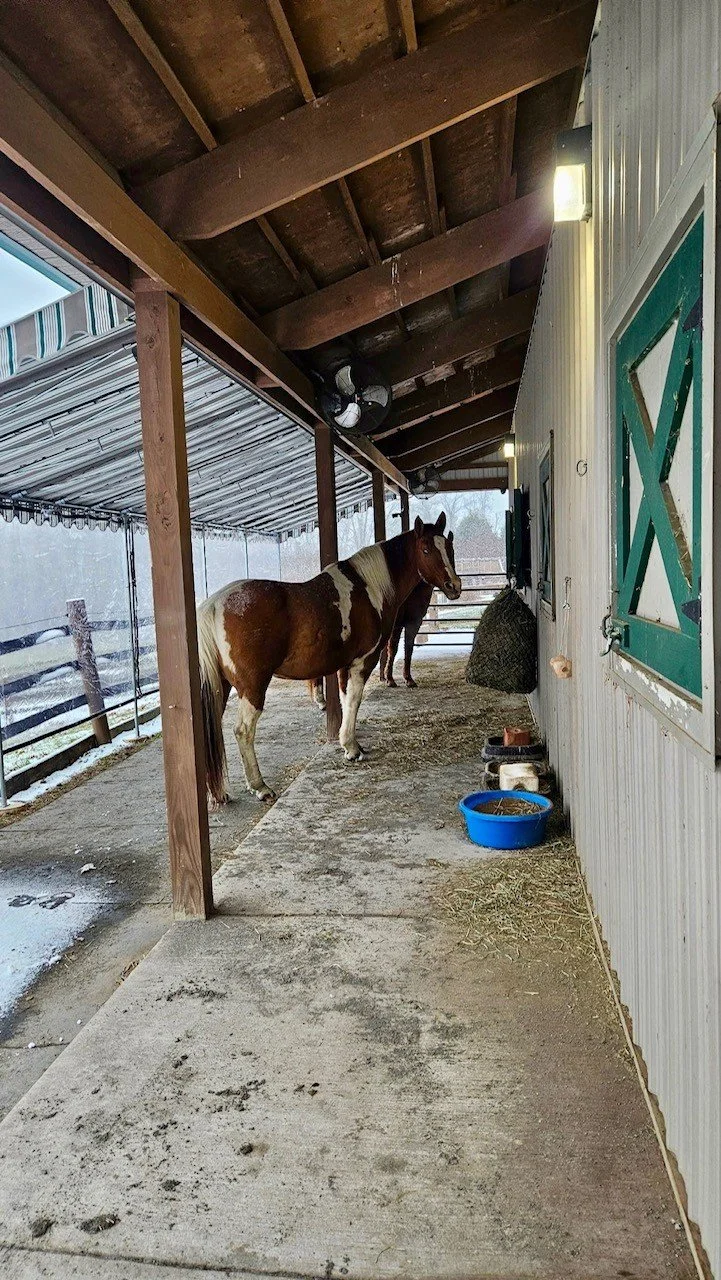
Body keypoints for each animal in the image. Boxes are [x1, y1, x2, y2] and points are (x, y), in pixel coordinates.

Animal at [197, 514, 461, 804]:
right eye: (425, 549)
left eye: (449, 548)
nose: (454, 587)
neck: (369, 588)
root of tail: (214, 605)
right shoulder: (362, 661)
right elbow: (355, 700)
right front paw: (352, 748)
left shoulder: (344, 666)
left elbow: (346, 701)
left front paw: (348, 744)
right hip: (253, 686)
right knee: (243, 730)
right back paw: (260, 786)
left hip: (223, 687)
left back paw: (218, 793)